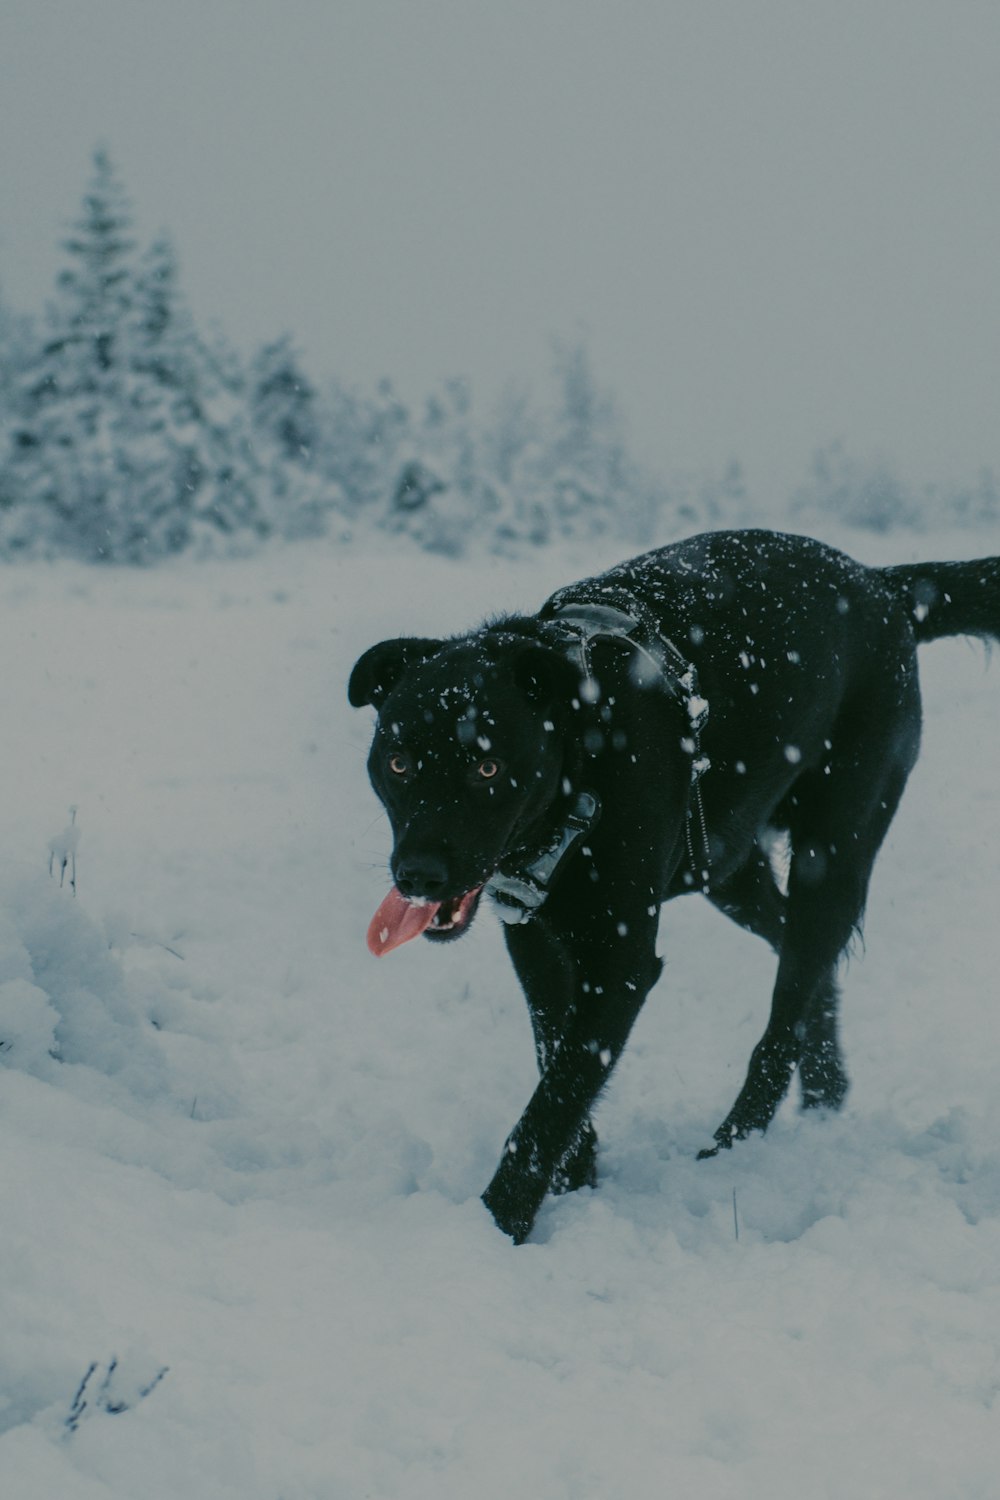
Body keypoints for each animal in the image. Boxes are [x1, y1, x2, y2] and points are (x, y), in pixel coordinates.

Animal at [352, 528, 1000, 1242]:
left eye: (488, 767)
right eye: (398, 762)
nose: (418, 873)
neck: (585, 757)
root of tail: (882, 586)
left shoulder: (623, 963)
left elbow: (560, 1091)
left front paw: (499, 1224)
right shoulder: (535, 942)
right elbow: (555, 1055)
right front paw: (576, 1178)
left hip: (831, 858)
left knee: (784, 1016)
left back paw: (734, 1146)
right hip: (727, 865)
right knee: (801, 962)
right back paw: (827, 1095)